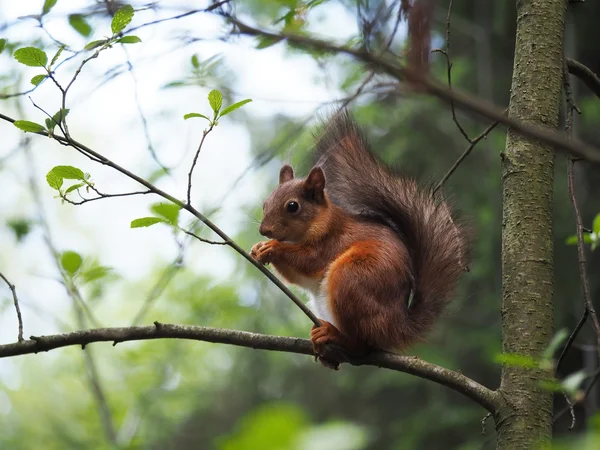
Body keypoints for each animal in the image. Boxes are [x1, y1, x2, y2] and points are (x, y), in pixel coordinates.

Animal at [250, 110, 468, 368]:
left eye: (292, 206)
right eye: (266, 203)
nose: (264, 230)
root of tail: (396, 327)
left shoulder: (332, 241)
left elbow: (309, 261)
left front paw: (272, 248)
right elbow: (297, 278)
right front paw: (257, 249)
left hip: (353, 278)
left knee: (362, 345)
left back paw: (334, 336)